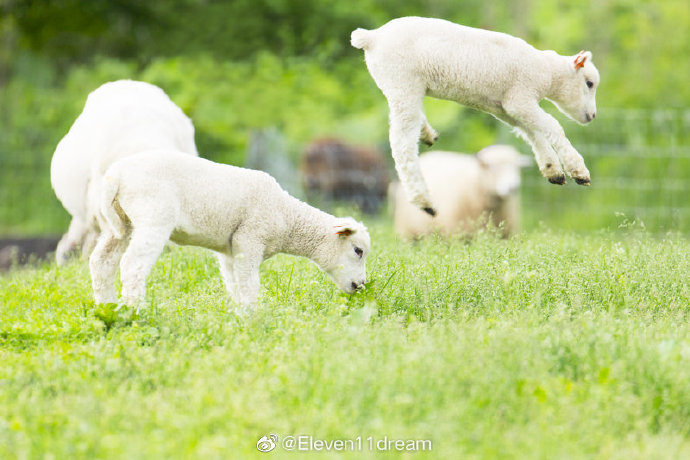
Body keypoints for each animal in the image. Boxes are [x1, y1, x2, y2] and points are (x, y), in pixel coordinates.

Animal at [90, 149, 370, 310]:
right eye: (358, 250)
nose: (361, 285)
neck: (286, 216)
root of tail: (115, 176)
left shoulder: (230, 248)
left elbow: (234, 282)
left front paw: (238, 314)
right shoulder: (250, 237)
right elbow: (249, 283)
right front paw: (253, 317)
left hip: (118, 223)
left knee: (101, 262)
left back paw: (107, 307)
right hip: (153, 217)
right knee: (132, 265)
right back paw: (135, 310)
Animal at [352, 15, 600, 214]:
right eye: (589, 83)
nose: (593, 116)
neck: (546, 71)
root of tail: (372, 37)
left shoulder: (504, 107)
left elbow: (532, 132)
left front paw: (553, 171)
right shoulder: (520, 98)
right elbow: (552, 125)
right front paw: (578, 171)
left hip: (400, 87)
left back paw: (427, 133)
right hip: (403, 82)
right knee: (402, 144)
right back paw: (424, 201)